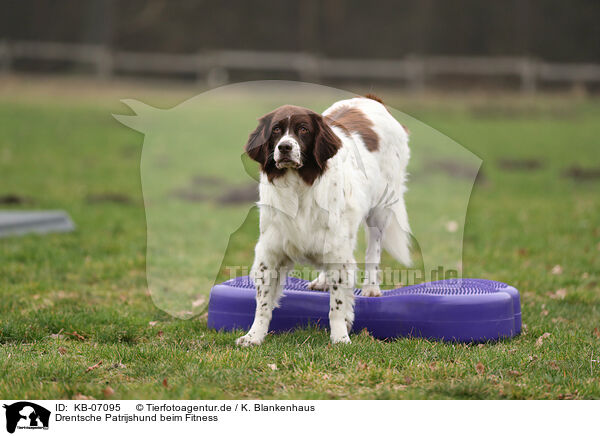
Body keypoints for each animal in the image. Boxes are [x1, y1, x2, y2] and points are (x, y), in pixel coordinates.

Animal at [237, 93, 410, 346]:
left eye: (303, 129)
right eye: (276, 129)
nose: (285, 147)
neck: (298, 188)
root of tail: (370, 99)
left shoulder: (339, 252)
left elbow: (337, 305)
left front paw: (340, 337)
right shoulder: (270, 252)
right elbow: (263, 302)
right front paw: (253, 336)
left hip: (380, 208)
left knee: (374, 248)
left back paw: (371, 287)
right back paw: (322, 280)